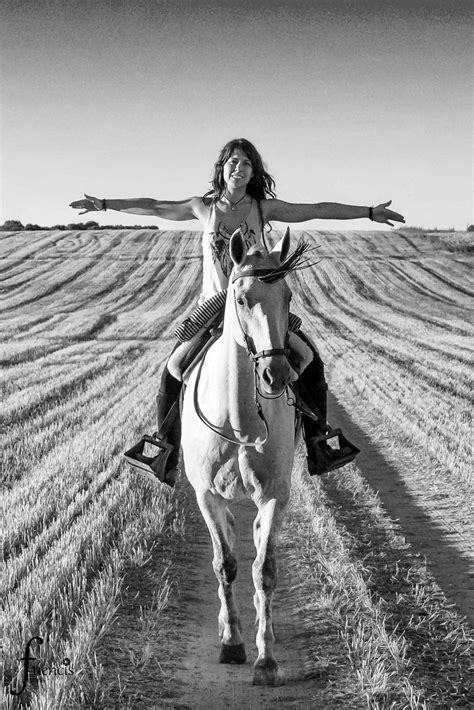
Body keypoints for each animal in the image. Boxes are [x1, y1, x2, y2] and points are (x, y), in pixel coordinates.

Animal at [180, 228, 306, 684]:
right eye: (241, 298)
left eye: (287, 296)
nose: (276, 374)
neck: (238, 419)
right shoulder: (206, 494)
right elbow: (225, 564)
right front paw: (232, 642)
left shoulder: (275, 494)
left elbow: (263, 569)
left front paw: (265, 657)